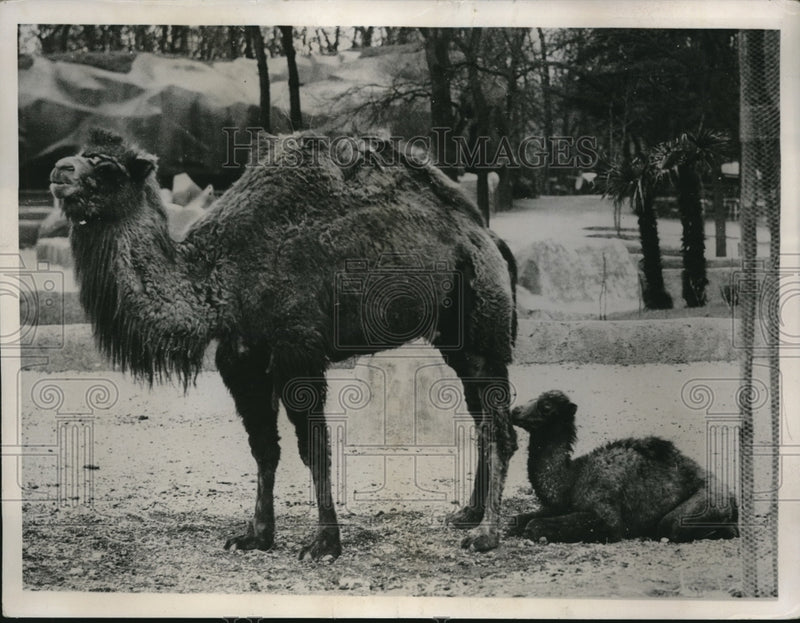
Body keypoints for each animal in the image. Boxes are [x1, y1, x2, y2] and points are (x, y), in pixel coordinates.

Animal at [49, 129, 518, 560]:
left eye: (107, 168)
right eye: (80, 154)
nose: (58, 171)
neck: (219, 279)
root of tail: (488, 238)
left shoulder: (298, 351)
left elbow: (314, 449)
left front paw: (324, 543)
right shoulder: (240, 358)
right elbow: (263, 450)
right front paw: (255, 535)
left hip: (483, 324)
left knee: (500, 427)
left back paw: (485, 535)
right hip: (453, 339)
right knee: (480, 418)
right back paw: (467, 513)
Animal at [509, 390, 739, 543]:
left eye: (546, 407)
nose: (515, 411)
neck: (572, 479)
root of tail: (732, 497)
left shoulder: (605, 511)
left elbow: (534, 525)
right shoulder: (560, 506)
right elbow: (518, 519)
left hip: (700, 505)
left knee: (670, 526)